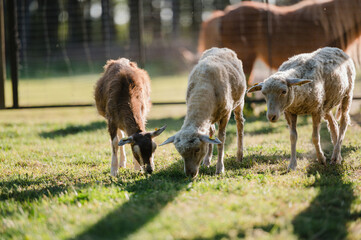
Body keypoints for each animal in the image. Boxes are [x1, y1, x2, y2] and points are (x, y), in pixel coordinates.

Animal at [161, 47, 248, 178]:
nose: (190, 174)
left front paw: (220, 168)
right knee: (212, 131)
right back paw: (207, 160)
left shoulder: (225, 114)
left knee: (240, 123)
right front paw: (207, 161)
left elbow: (221, 140)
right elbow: (210, 136)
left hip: (239, 101)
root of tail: (222, 48)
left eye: (197, 149)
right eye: (180, 152)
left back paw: (239, 155)